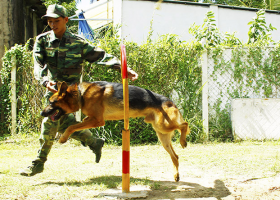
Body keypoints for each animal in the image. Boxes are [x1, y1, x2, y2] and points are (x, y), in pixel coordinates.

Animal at [41, 81, 190, 181]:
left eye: (51, 102)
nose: (42, 114)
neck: (80, 94)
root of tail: (170, 101)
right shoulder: (91, 119)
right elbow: (78, 124)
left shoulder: (97, 121)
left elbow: (71, 127)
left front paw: (62, 138)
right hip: (162, 135)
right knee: (175, 156)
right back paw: (176, 175)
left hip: (163, 125)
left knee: (184, 125)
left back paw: (183, 141)